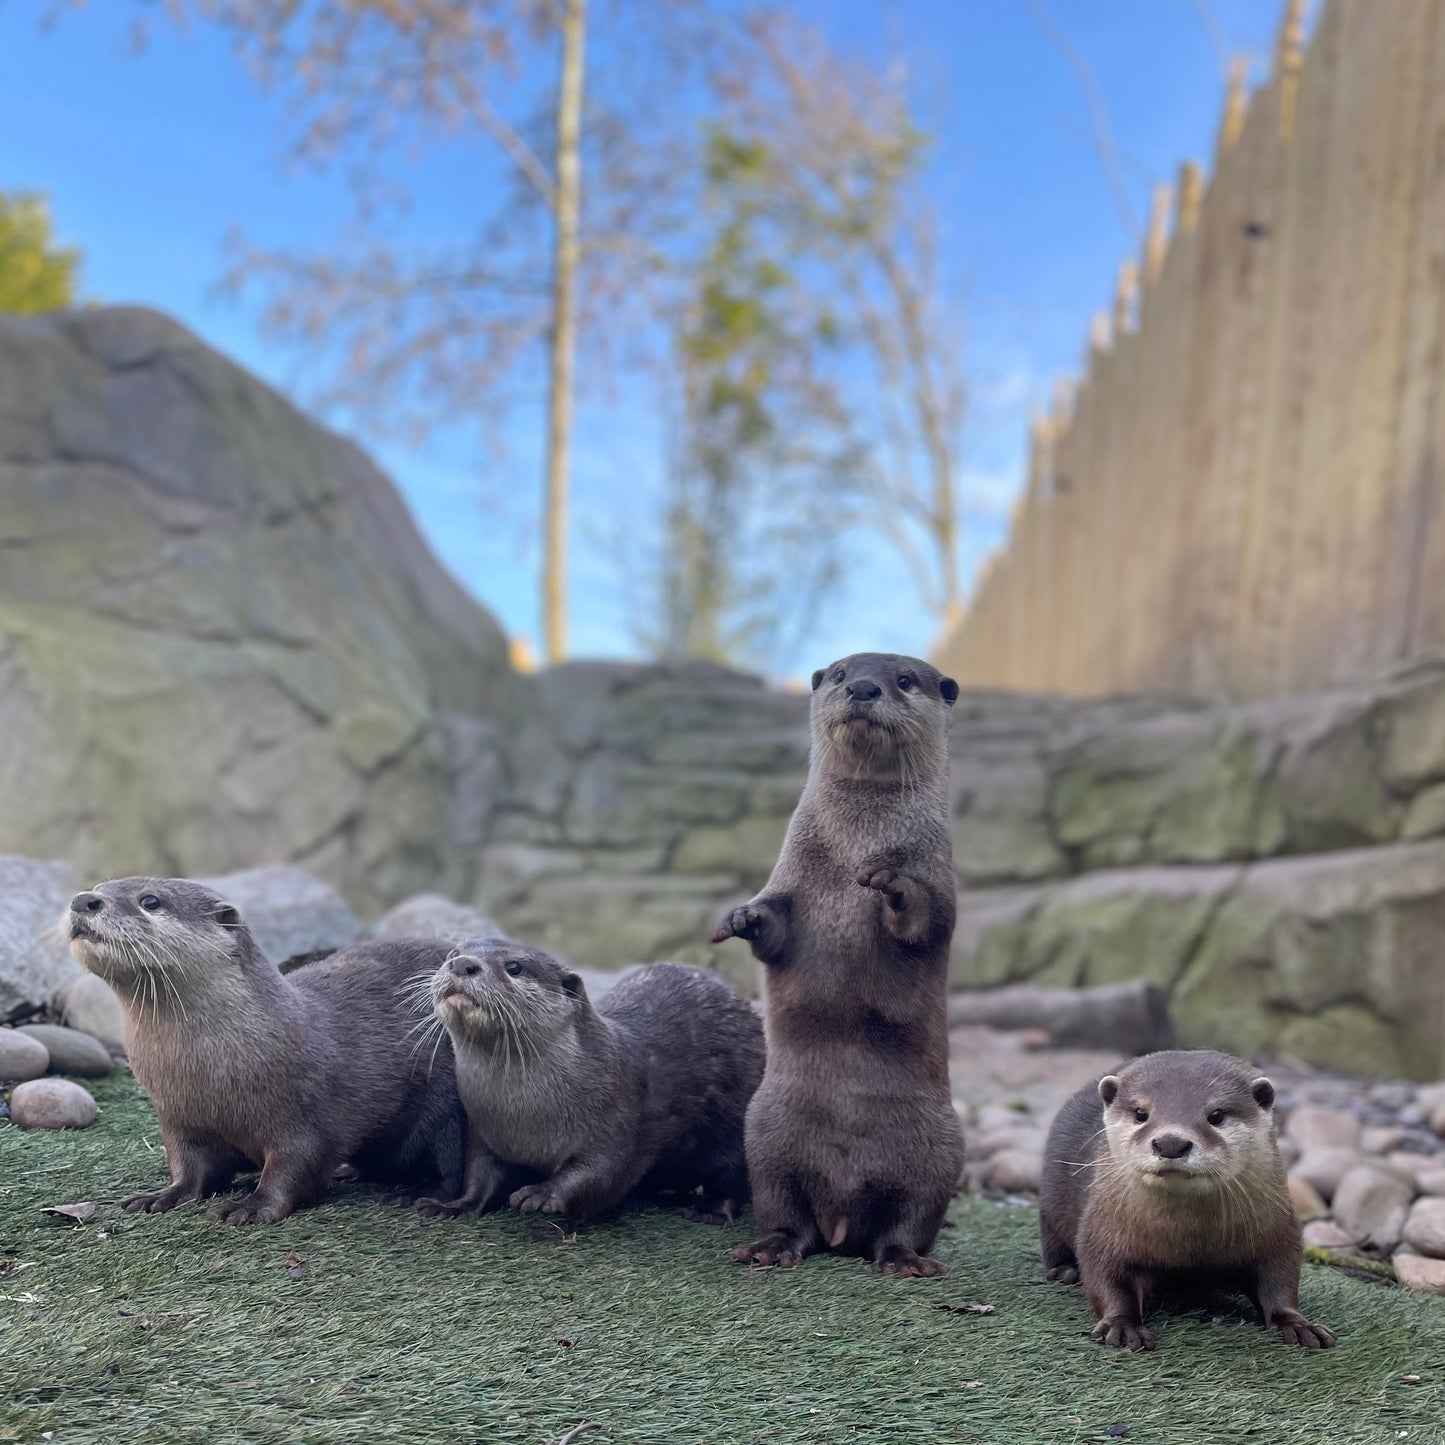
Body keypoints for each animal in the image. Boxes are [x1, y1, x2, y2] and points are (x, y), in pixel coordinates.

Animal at [67, 877, 464, 1224]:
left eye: (150, 900)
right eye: (99, 887)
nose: (83, 900)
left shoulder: (306, 1117)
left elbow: (295, 1165)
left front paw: (251, 1206)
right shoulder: (179, 1118)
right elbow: (188, 1166)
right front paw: (162, 1195)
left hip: (446, 1110)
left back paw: (422, 1197)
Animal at [413, 942, 764, 1225]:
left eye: (514, 967)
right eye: (454, 953)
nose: (462, 964)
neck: (525, 1115)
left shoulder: (619, 1115)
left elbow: (601, 1172)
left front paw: (542, 1193)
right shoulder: (483, 1132)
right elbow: (480, 1176)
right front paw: (452, 1206)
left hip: (736, 1119)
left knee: (732, 1177)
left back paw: (709, 1211)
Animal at [711, 651, 964, 1277]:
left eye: (905, 680)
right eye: (844, 674)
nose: (866, 688)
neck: (857, 840)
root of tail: (844, 1216)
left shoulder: (940, 879)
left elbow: (925, 919)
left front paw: (890, 883)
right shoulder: (789, 876)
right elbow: (775, 930)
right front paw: (744, 917)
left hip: (941, 1150)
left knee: (908, 1218)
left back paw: (904, 1260)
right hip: (766, 1135)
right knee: (786, 1211)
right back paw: (769, 1248)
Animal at [1040, 1049, 1335, 1352]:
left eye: (1216, 1115)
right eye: (1140, 1113)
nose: (1171, 1143)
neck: (1187, 1242)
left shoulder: (1278, 1229)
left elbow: (1280, 1279)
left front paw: (1297, 1324)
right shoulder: (1103, 1230)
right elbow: (1107, 1277)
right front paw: (1122, 1325)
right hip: (1050, 1205)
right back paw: (1065, 1271)